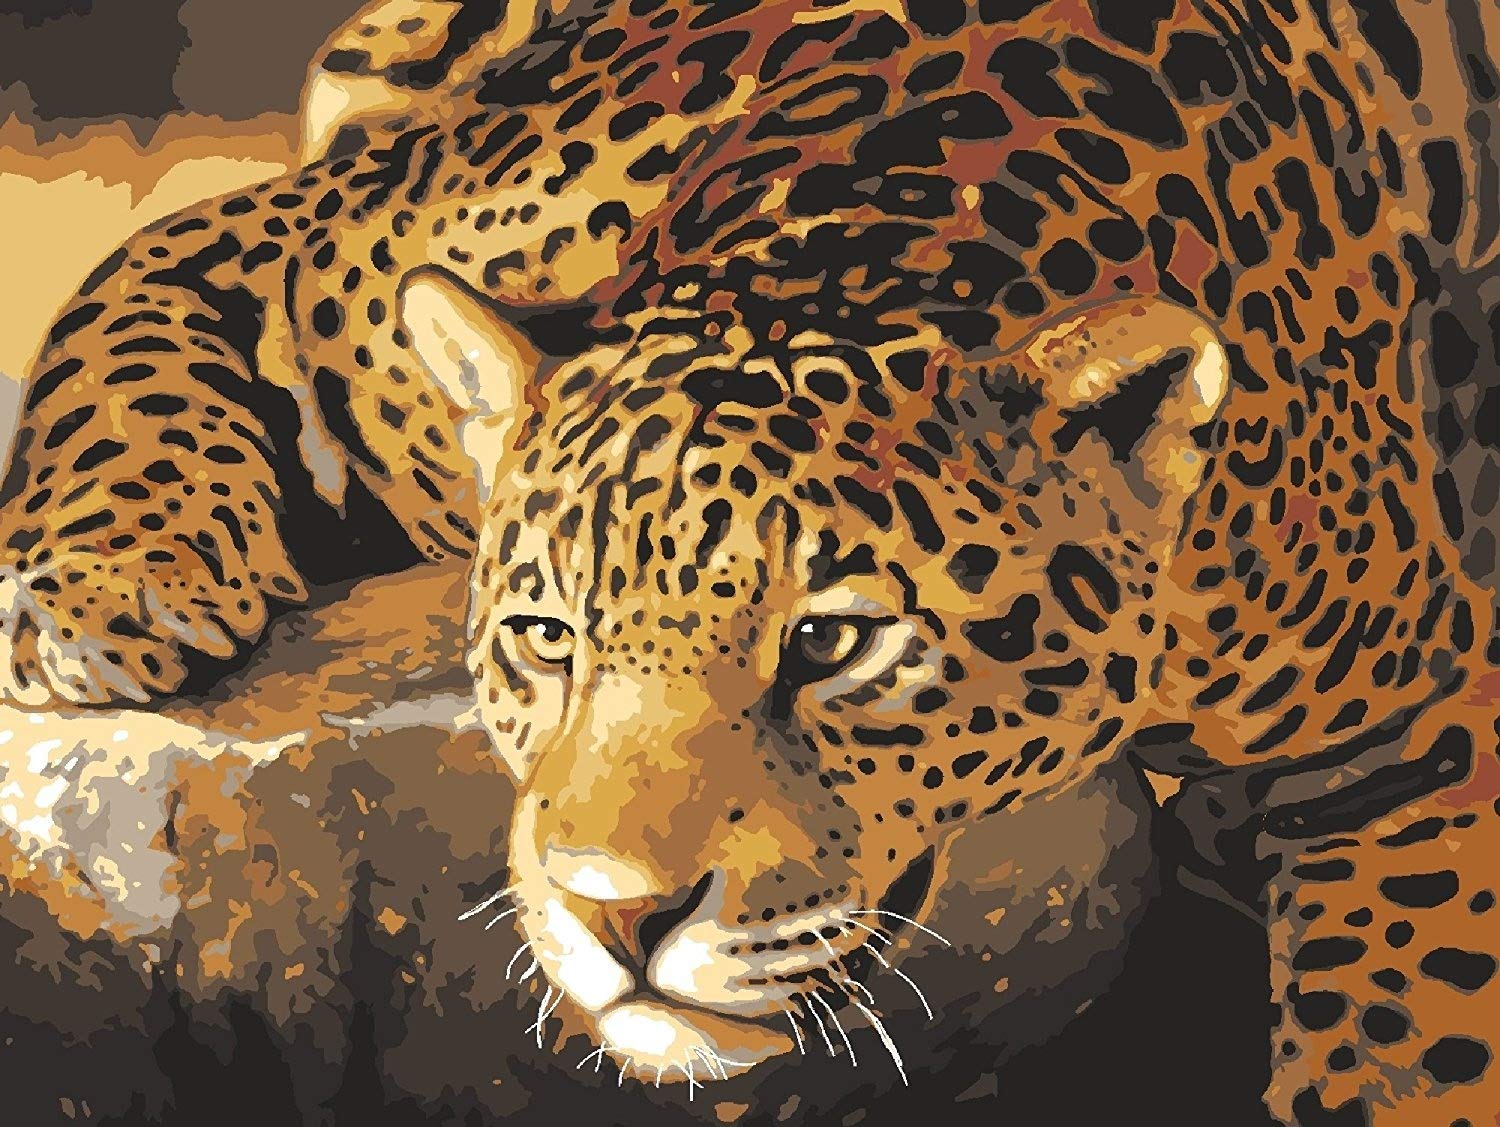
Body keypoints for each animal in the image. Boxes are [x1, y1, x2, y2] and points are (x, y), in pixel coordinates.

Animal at [0, 1, 1496, 1122]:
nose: (617, 917)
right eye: (548, 635)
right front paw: (101, 590)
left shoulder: (1409, 733)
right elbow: (130, 349)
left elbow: (1412, 1029)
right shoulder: (286, 250)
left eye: (831, 641)